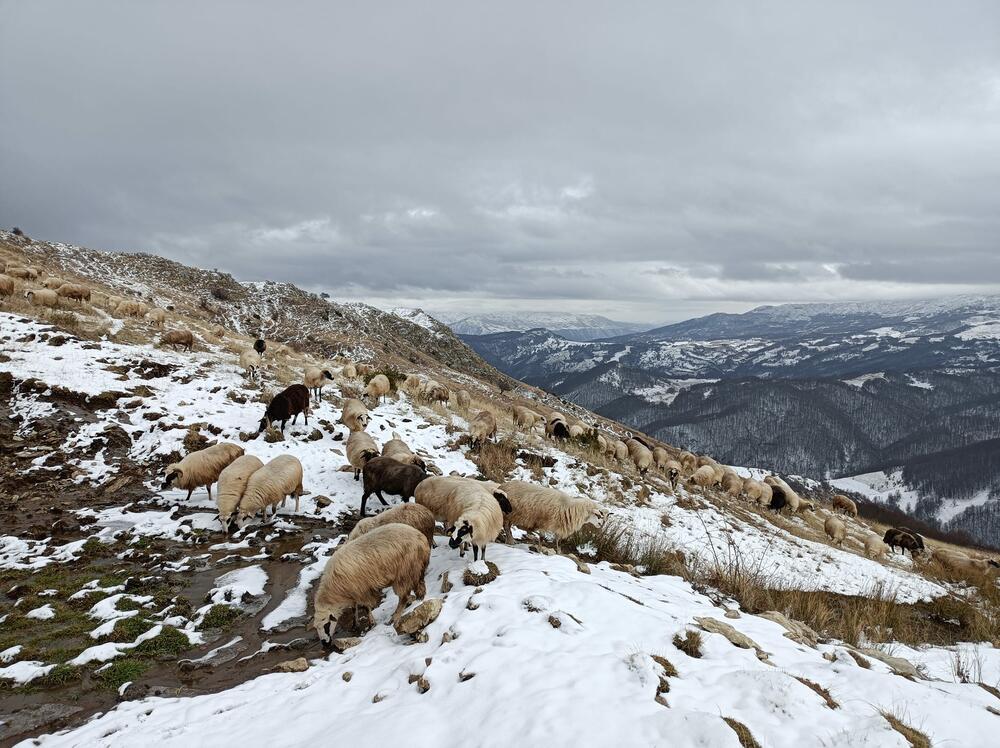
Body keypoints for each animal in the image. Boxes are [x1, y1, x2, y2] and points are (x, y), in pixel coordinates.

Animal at [308, 520, 426, 648]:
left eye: (326, 625)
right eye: (316, 627)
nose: (325, 643)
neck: (333, 590)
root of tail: (420, 537)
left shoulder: (361, 589)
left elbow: (365, 607)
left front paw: (371, 623)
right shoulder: (353, 591)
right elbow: (354, 607)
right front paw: (355, 624)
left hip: (404, 573)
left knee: (403, 597)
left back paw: (394, 618)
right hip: (415, 569)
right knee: (419, 586)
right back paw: (419, 599)